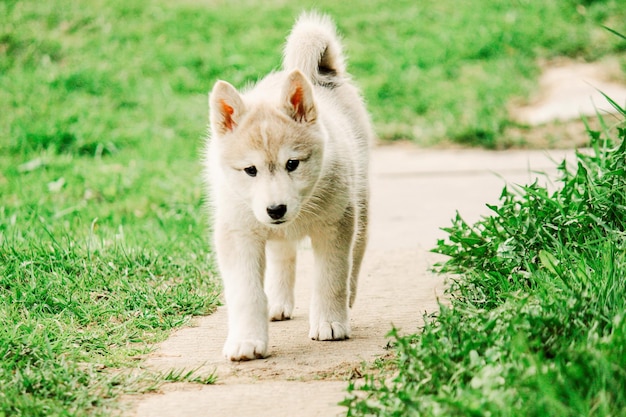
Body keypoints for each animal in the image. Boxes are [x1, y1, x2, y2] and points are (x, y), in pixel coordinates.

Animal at [205, 11, 370, 360]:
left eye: (292, 164)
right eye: (250, 170)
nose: (276, 209)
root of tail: (324, 76)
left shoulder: (335, 225)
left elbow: (330, 277)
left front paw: (330, 323)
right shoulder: (238, 233)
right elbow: (246, 293)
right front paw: (247, 341)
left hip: (360, 202)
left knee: (356, 256)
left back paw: (348, 297)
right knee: (283, 256)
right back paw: (278, 303)